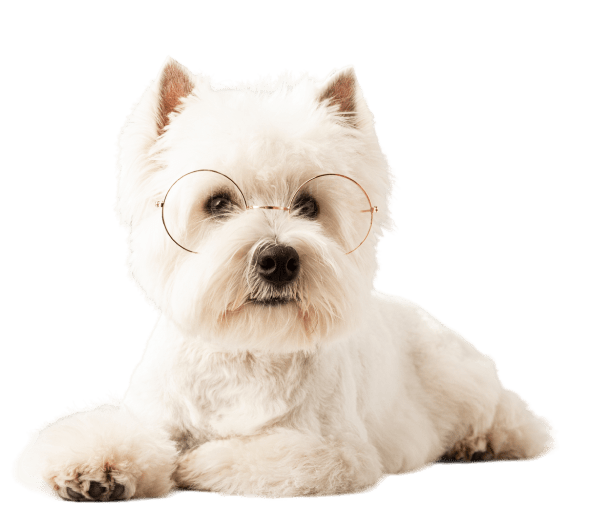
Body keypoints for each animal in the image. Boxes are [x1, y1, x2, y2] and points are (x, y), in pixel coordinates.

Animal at [11, 56, 558, 501]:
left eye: (309, 205)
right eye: (217, 202)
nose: (277, 259)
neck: (247, 352)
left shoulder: (334, 451)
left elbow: (242, 456)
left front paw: (191, 464)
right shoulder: (152, 412)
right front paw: (94, 469)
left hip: (464, 381)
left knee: (514, 418)